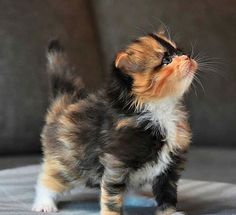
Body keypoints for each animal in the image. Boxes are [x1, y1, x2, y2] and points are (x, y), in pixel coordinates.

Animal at [31, 32, 197, 215]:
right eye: (166, 60)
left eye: (180, 51)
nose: (187, 57)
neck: (160, 109)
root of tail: (66, 103)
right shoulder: (116, 162)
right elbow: (112, 194)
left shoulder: (170, 165)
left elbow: (167, 193)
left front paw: (170, 212)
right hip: (68, 162)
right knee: (49, 180)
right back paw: (44, 203)